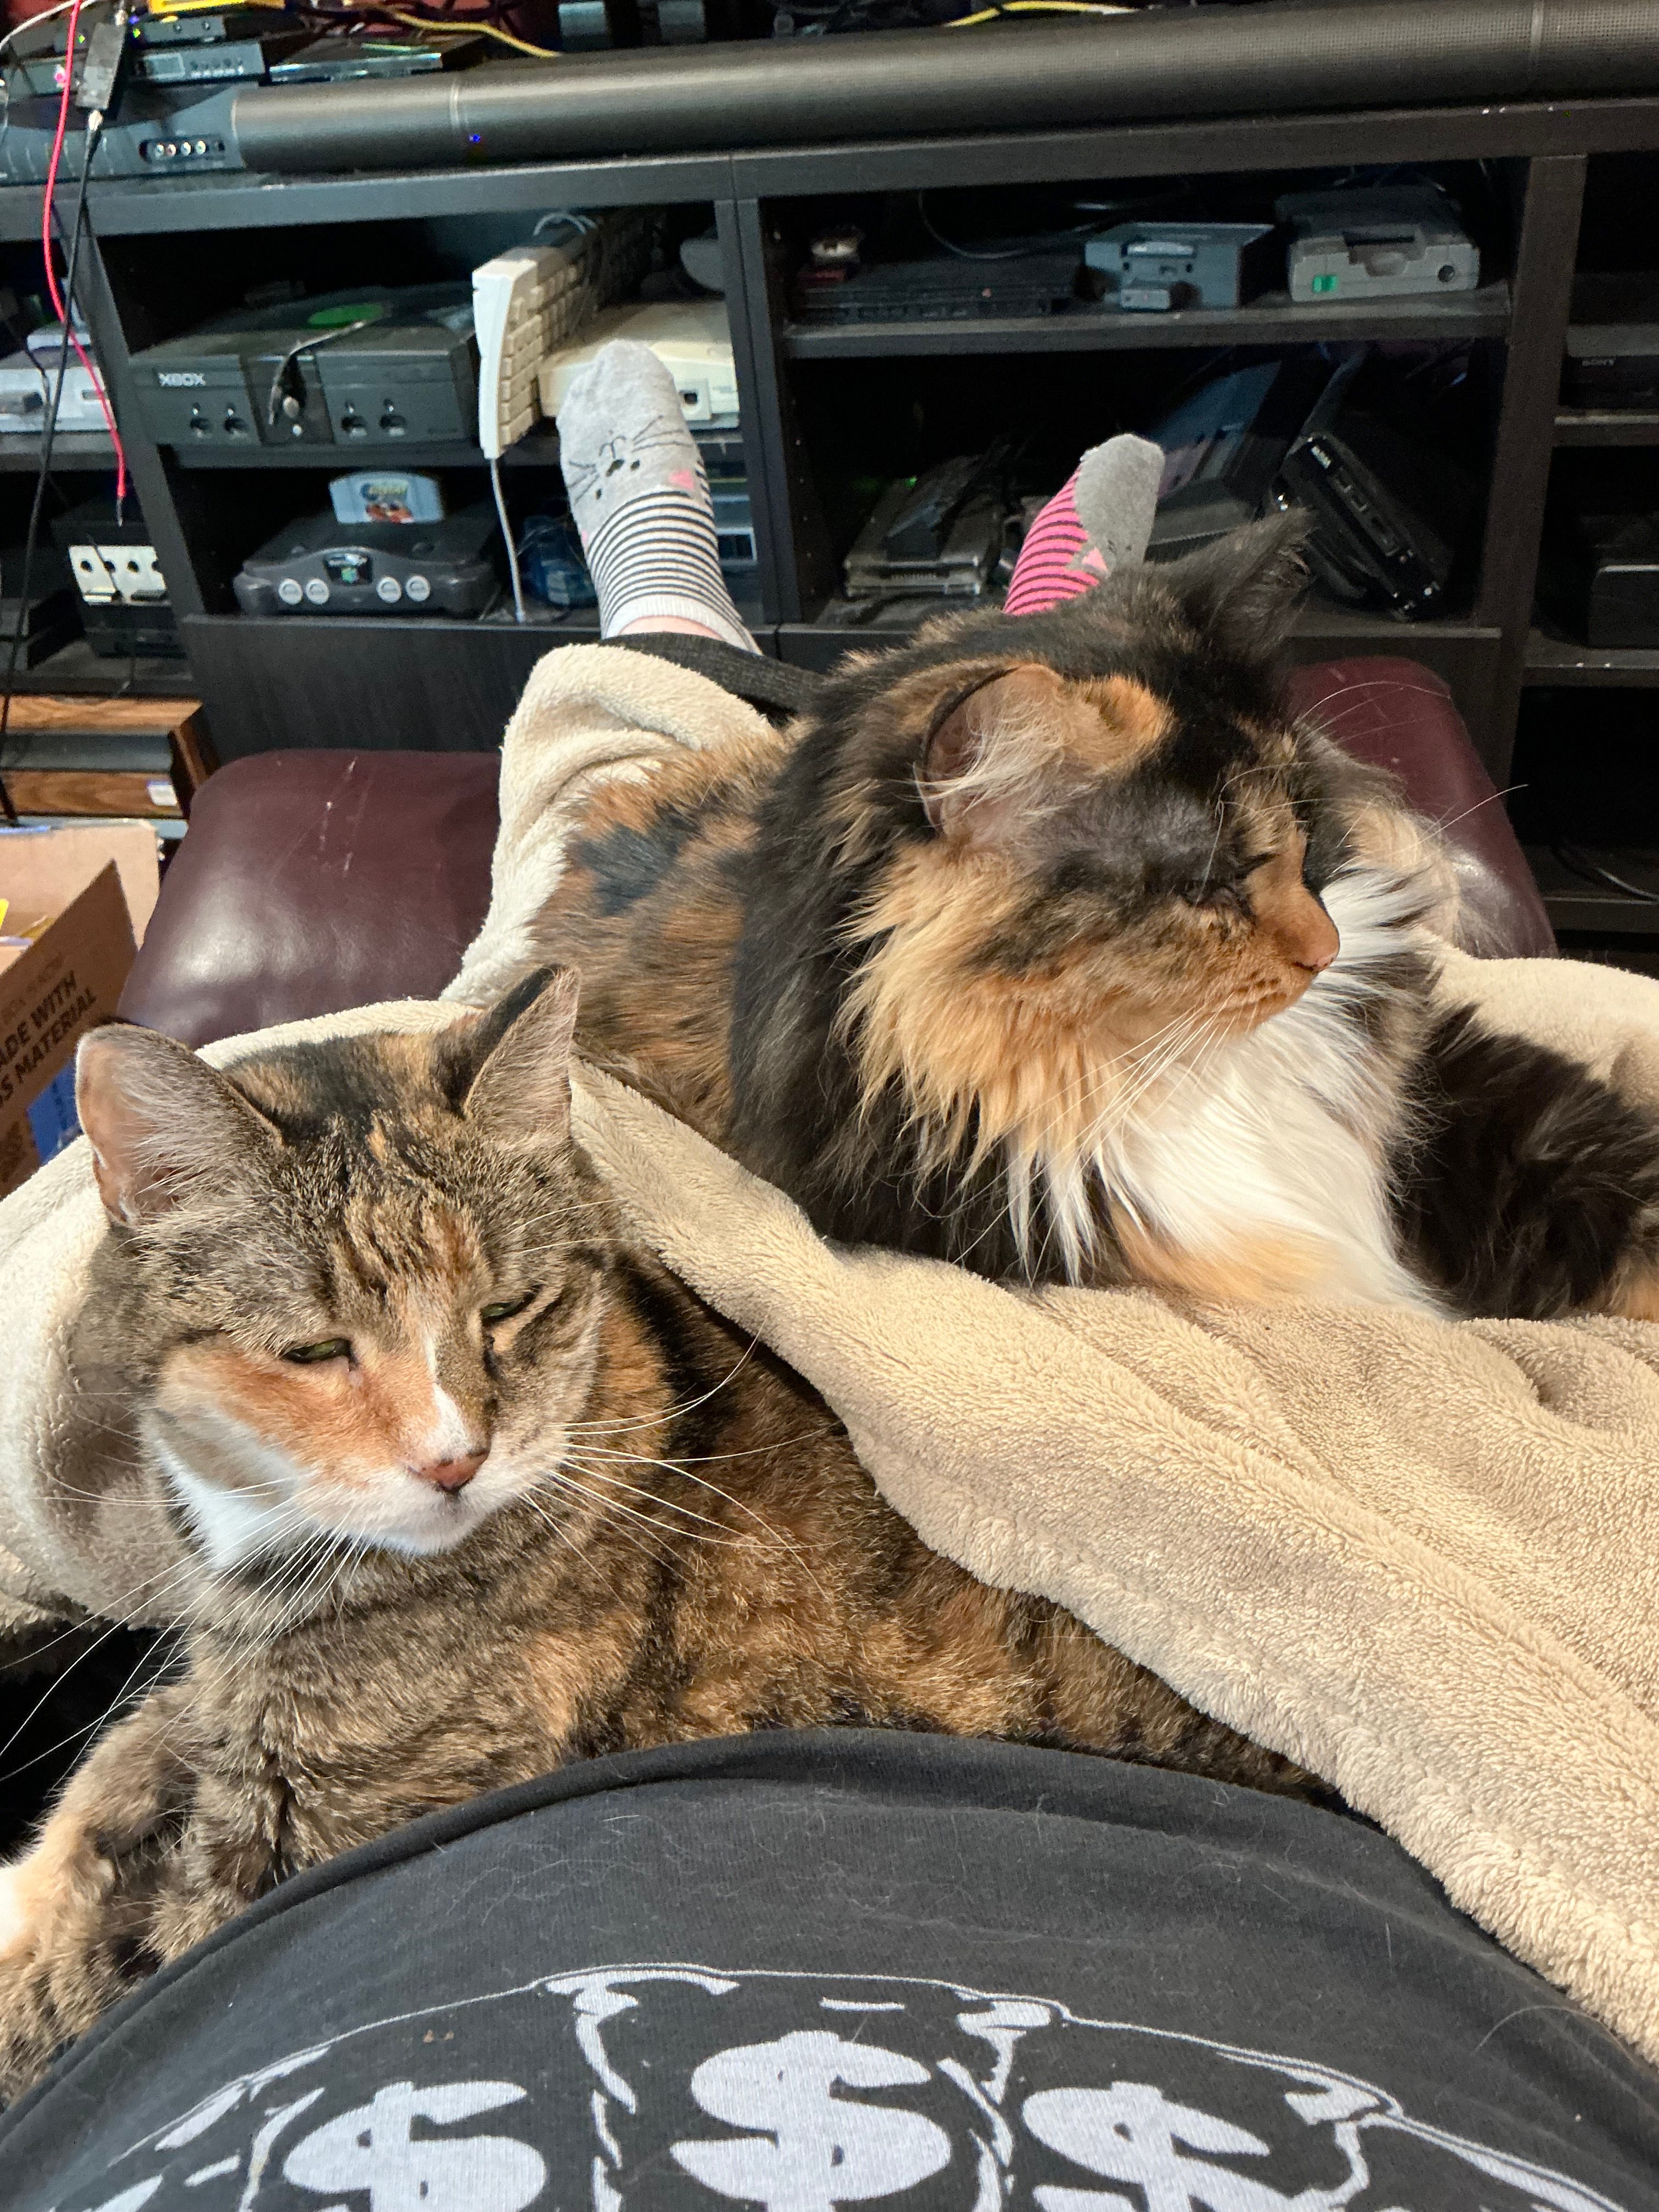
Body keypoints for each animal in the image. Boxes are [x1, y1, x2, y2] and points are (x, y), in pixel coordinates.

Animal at [0, 972, 1308, 2105]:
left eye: (510, 1307)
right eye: (314, 1350)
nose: (455, 1460)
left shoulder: (294, 1838)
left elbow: (70, 1978)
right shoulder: (216, 1701)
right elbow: (110, 1775)